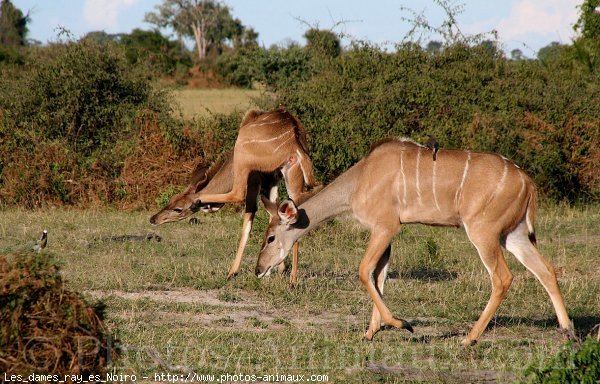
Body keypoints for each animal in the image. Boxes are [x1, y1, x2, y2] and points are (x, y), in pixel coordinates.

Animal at [150, 108, 316, 282]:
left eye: (178, 209)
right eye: (171, 199)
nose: (153, 219)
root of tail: (294, 139)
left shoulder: (256, 175)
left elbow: (249, 218)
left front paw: (237, 272)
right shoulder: (273, 178)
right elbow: (275, 214)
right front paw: (277, 269)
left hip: (244, 161)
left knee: (238, 194)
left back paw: (231, 271)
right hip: (293, 178)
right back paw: (293, 279)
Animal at [255, 137, 576, 344]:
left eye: (270, 237)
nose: (258, 269)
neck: (360, 179)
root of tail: (527, 182)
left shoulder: (385, 227)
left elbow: (364, 271)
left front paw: (402, 324)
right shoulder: (387, 232)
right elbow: (379, 276)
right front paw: (369, 333)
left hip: (483, 232)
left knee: (502, 278)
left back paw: (469, 339)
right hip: (515, 235)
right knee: (546, 270)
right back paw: (568, 331)